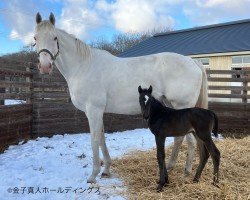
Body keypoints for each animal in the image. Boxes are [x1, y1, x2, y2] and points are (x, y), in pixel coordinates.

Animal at [33, 12, 209, 184]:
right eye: (35, 38)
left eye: (55, 37)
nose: (45, 66)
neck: (83, 66)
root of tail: (193, 62)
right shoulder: (97, 112)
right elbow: (102, 138)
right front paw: (106, 170)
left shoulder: (94, 110)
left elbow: (94, 139)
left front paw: (93, 175)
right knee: (181, 139)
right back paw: (173, 167)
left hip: (181, 106)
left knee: (188, 140)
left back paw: (186, 171)